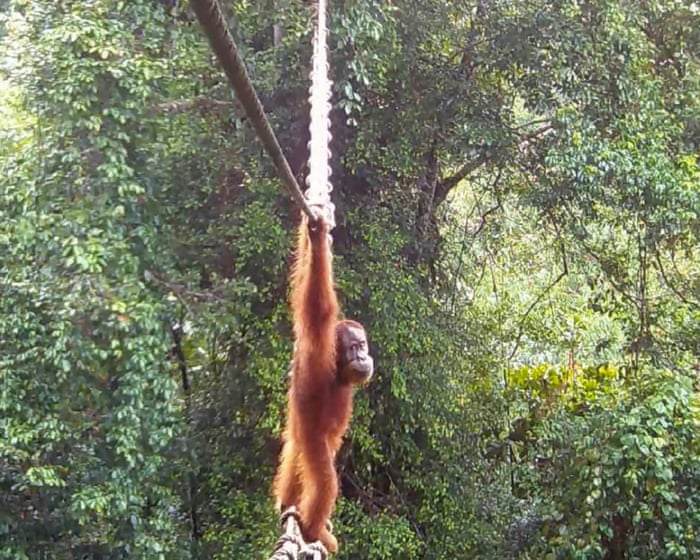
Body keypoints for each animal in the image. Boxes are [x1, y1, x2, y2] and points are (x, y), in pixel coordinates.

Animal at [273, 212, 373, 553]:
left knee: (293, 459)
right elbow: (318, 304)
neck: (338, 371)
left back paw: (287, 506)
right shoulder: (319, 346)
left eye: (363, 346)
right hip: (312, 442)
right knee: (325, 480)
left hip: (298, 439)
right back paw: (314, 528)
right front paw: (317, 238)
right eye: (354, 348)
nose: (364, 357)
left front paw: (313, 235)